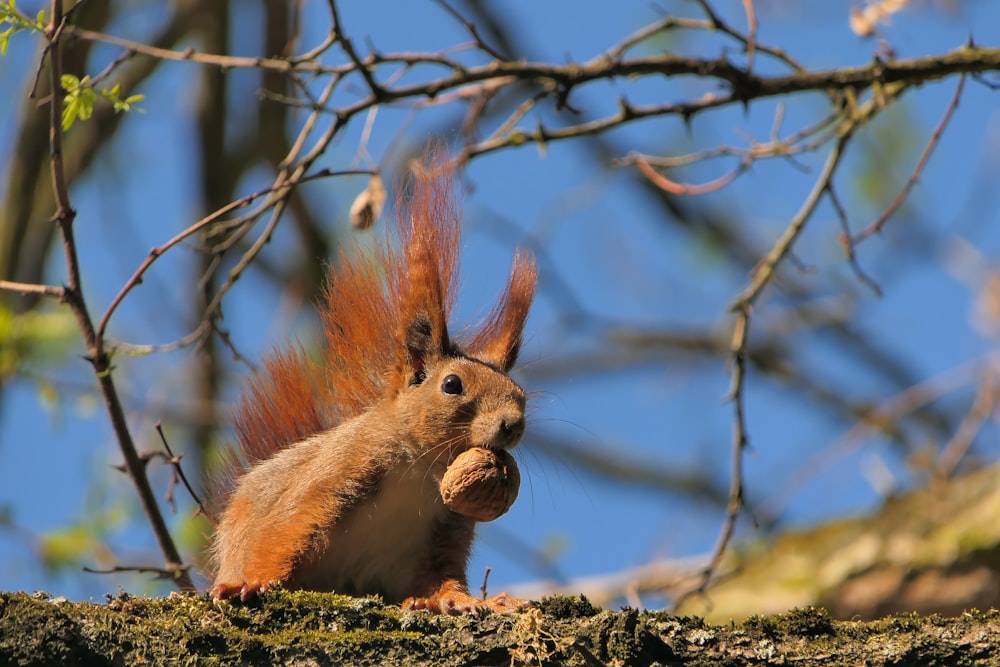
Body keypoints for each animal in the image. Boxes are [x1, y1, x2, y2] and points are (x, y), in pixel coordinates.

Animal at [211, 158, 536, 616]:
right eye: (452, 384)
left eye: (521, 396)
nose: (513, 424)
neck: (423, 470)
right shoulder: (335, 475)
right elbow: (289, 528)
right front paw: (255, 581)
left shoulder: (446, 531)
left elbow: (444, 575)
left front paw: (463, 600)